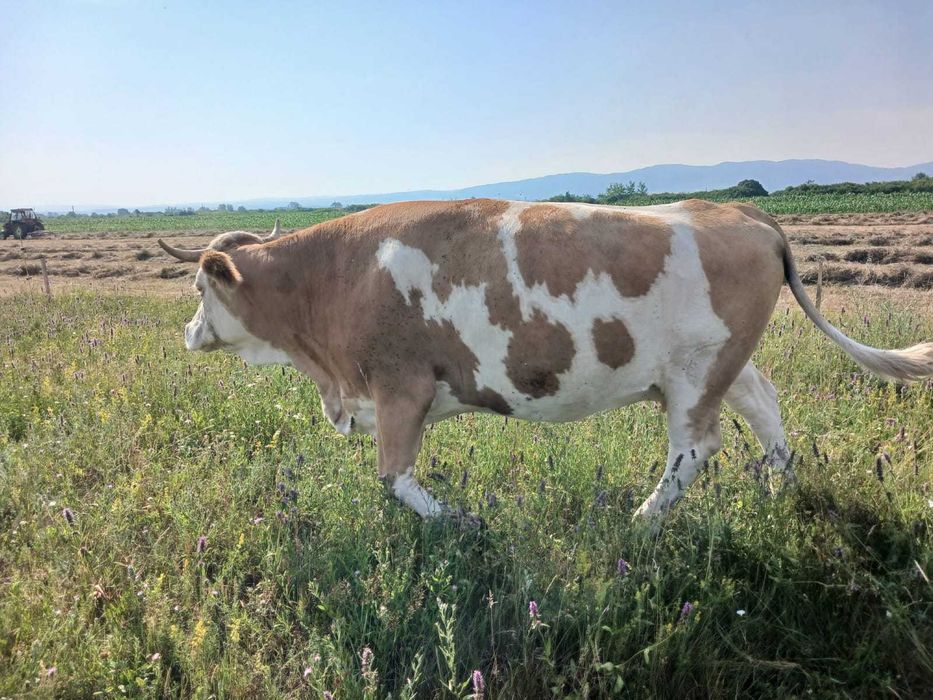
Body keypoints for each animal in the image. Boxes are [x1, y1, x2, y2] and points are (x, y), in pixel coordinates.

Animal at [159, 199, 933, 523]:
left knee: (693, 449)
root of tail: (740, 213)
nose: (188, 333)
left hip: (692, 376)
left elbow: (395, 478)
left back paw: (640, 522)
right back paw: (777, 491)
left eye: (198, 286)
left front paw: (457, 523)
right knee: (766, 409)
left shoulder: (401, 387)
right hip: (724, 364)